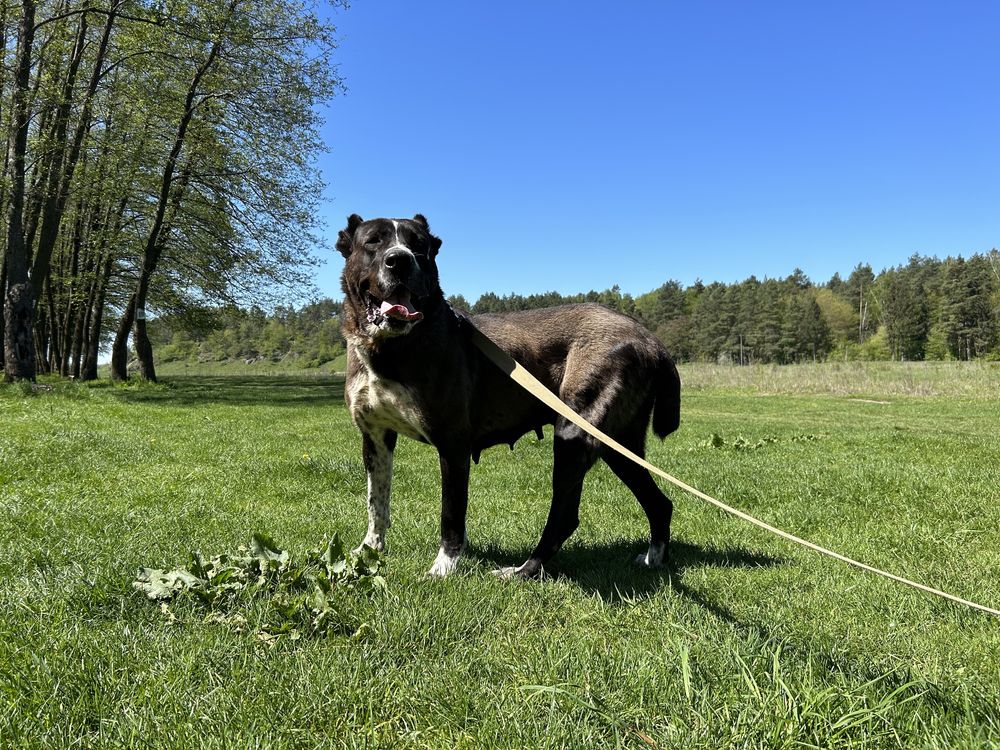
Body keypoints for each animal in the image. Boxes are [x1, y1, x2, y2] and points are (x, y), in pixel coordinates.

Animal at [338, 214, 680, 580]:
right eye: (373, 242)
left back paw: (522, 571)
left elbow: (451, 514)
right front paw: (369, 550)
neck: (392, 348)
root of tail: (650, 339)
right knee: (660, 503)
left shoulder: (453, 444)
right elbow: (377, 503)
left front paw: (444, 567)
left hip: (575, 433)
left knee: (565, 516)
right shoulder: (375, 438)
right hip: (619, 444)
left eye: (419, 246)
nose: (400, 260)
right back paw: (654, 558)